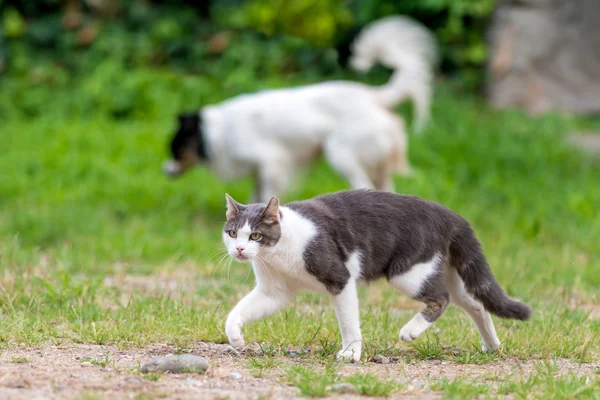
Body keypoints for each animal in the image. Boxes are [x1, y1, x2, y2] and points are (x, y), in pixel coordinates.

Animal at [163, 78, 412, 203]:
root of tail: (373, 96)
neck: (217, 133)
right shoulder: (259, 170)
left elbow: (266, 194)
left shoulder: (271, 162)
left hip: (340, 153)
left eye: (176, 149)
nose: (165, 170)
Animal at [223, 189, 532, 360]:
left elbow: (349, 322)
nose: (239, 249)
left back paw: (410, 331)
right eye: (232, 233)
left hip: (408, 272)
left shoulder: (340, 277)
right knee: (475, 303)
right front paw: (235, 337)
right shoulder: (274, 291)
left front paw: (350, 353)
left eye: (255, 235)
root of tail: (450, 215)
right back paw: (492, 345)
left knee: (441, 299)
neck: (277, 255)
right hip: (446, 271)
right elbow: (238, 311)